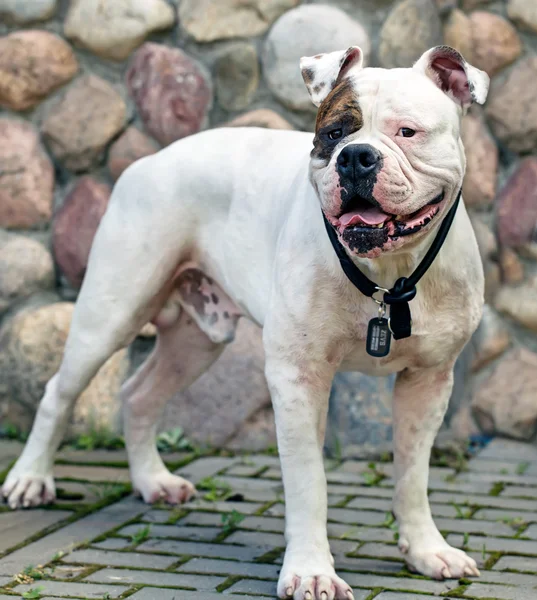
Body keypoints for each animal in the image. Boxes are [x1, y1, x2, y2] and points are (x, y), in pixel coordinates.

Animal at [3, 44, 490, 596]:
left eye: (407, 131)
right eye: (333, 134)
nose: (355, 157)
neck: (389, 275)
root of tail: (150, 159)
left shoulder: (428, 381)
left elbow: (413, 473)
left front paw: (427, 550)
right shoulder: (297, 378)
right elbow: (309, 481)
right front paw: (311, 571)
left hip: (195, 343)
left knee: (139, 395)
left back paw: (153, 480)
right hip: (110, 313)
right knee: (58, 393)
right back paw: (30, 479)